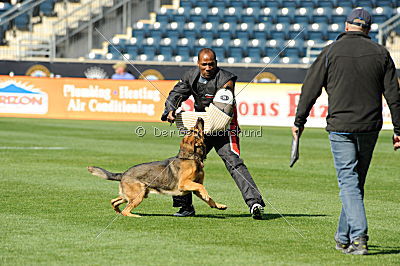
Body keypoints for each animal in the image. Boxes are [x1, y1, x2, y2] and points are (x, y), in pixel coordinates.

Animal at [88, 118, 227, 216]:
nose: (199, 117)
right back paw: (135, 216)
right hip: (138, 196)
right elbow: (202, 187)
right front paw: (207, 195)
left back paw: (117, 211)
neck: (191, 157)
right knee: (126, 211)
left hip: (134, 195)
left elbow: (209, 198)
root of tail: (124, 173)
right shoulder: (184, 184)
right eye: (194, 130)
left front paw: (218, 205)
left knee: (114, 201)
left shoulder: (193, 187)